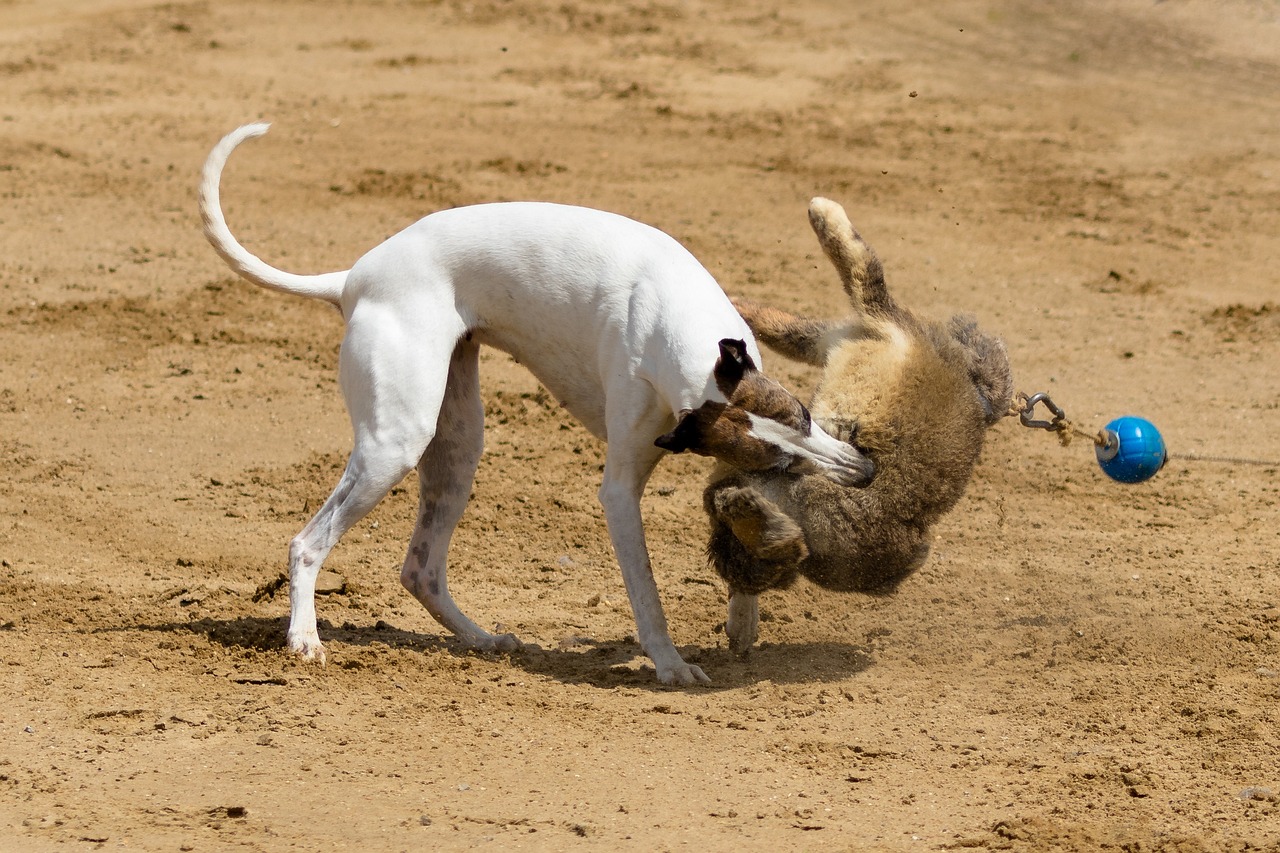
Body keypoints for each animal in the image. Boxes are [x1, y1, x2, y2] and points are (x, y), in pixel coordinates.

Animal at [197, 122, 870, 686]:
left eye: (804, 416)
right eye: (782, 461)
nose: (866, 470)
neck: (672, 323)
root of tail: (353, 277)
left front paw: (744, 619)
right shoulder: (620, 489)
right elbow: (646, 592)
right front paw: (672, 666)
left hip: (457, 443)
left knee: (420, 569)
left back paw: (481, 639)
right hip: (394, 445)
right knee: (308, 543)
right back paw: (305, 639)